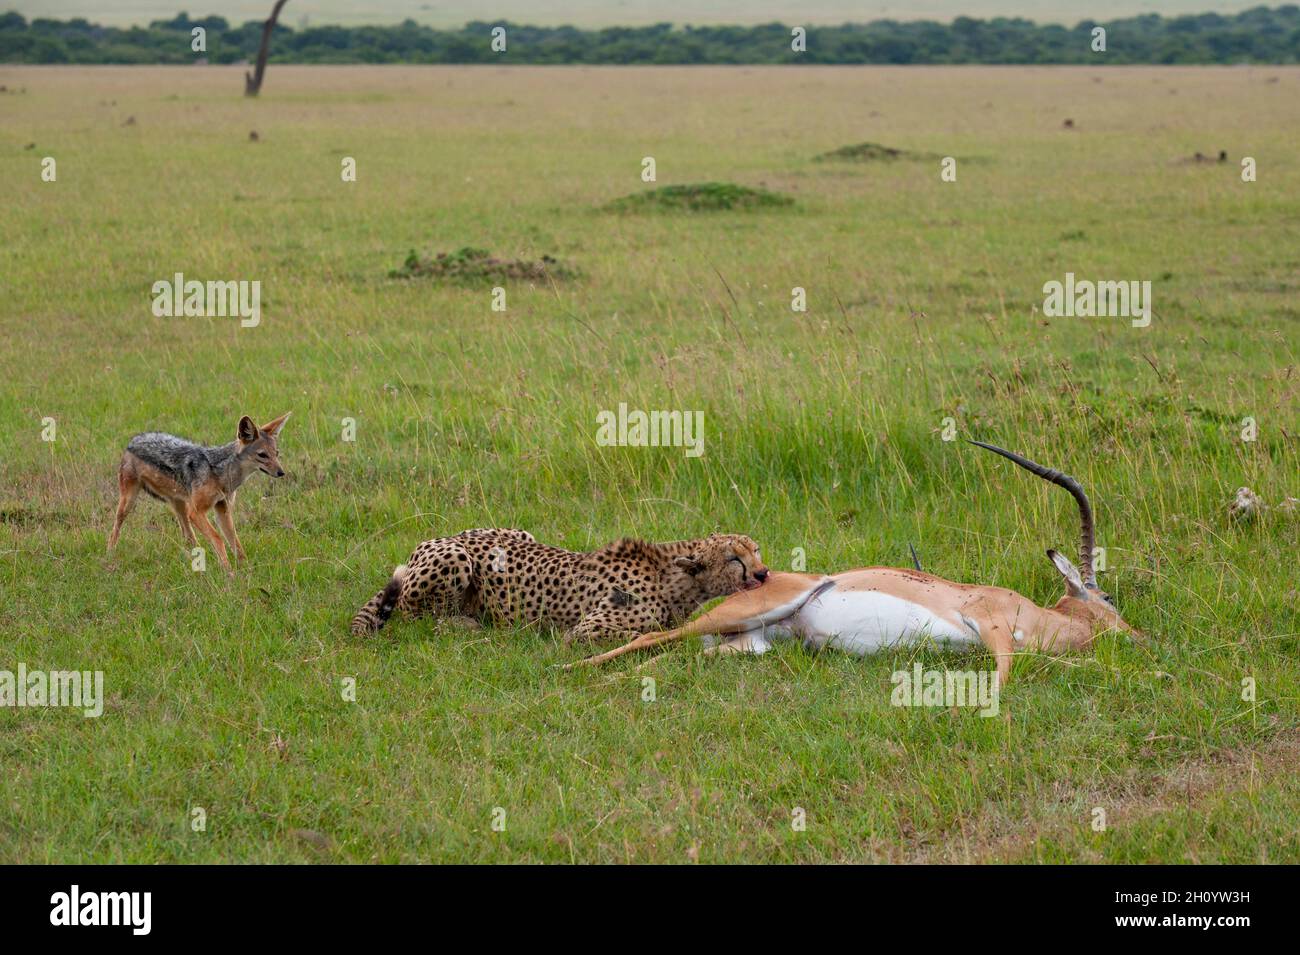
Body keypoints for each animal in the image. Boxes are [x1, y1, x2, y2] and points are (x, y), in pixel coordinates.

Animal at [351, 527, 764, 647]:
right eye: (734, 558)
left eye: (756, 550)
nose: (763, 575)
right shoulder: (586, 630)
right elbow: (644, 634)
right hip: (455, 559)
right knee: (413, 616)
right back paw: (466, 625)